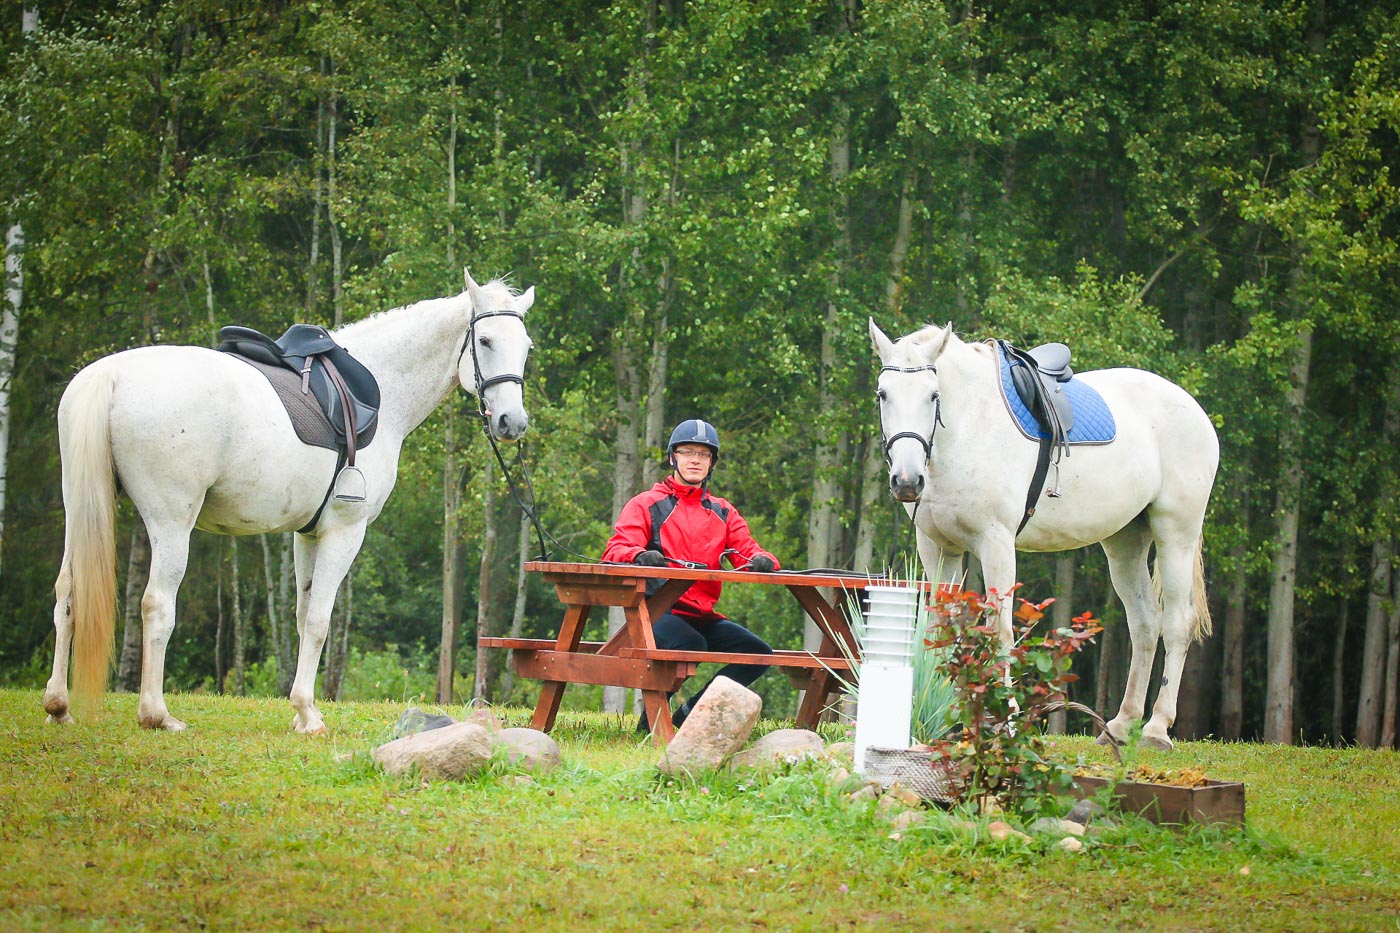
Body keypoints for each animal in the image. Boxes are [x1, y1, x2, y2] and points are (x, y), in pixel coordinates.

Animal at [43, 268, 534, 734]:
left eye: (526, 347)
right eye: (485, 340)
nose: (512, 422)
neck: (382, 386)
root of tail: (110, 375)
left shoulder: (308, 534)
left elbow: (302, 616)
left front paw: (300, 713)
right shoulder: (344, 531)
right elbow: (318, 621)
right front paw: (308, 714)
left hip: (80, 510)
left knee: (67, 594)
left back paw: (58, 705)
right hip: (171, 523)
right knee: (157, 605)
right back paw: (156, 713)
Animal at [868, 319, 1220, 750]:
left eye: (933, 396)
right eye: (883, 394)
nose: (906, 481)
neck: (968, 428)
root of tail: (1194, 409)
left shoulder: (996, 544)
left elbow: (1000, 631)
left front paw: (1005, 721)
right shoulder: (938, 548)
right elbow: (942, 630)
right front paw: (945, 719)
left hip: (1176, 533)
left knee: (1176, 622)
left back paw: (1156, 729)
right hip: (1125, 542)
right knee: (1144, 622)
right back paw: (1122, 725)